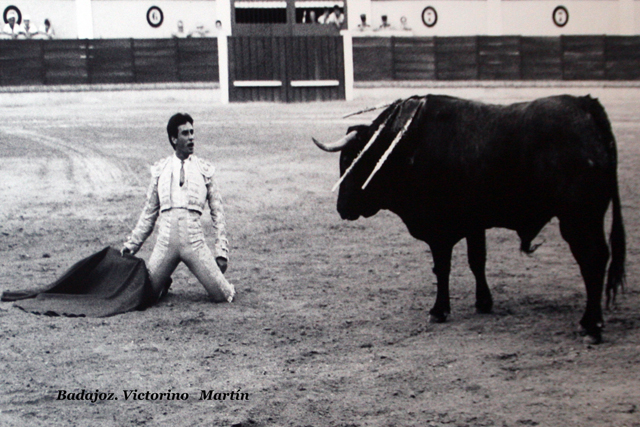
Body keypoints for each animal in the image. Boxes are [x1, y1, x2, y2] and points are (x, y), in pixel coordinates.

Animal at [316, 94, 624, 344]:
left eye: (351, 160)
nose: (342, 208)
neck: (408, 145)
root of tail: (586, 106)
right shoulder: (475, 224)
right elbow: (477, 261)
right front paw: (484, 302)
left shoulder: (438, 230)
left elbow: (442, 268)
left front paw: (438, 310)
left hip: (578, 218)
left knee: (593, 260)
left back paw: (591, 326)